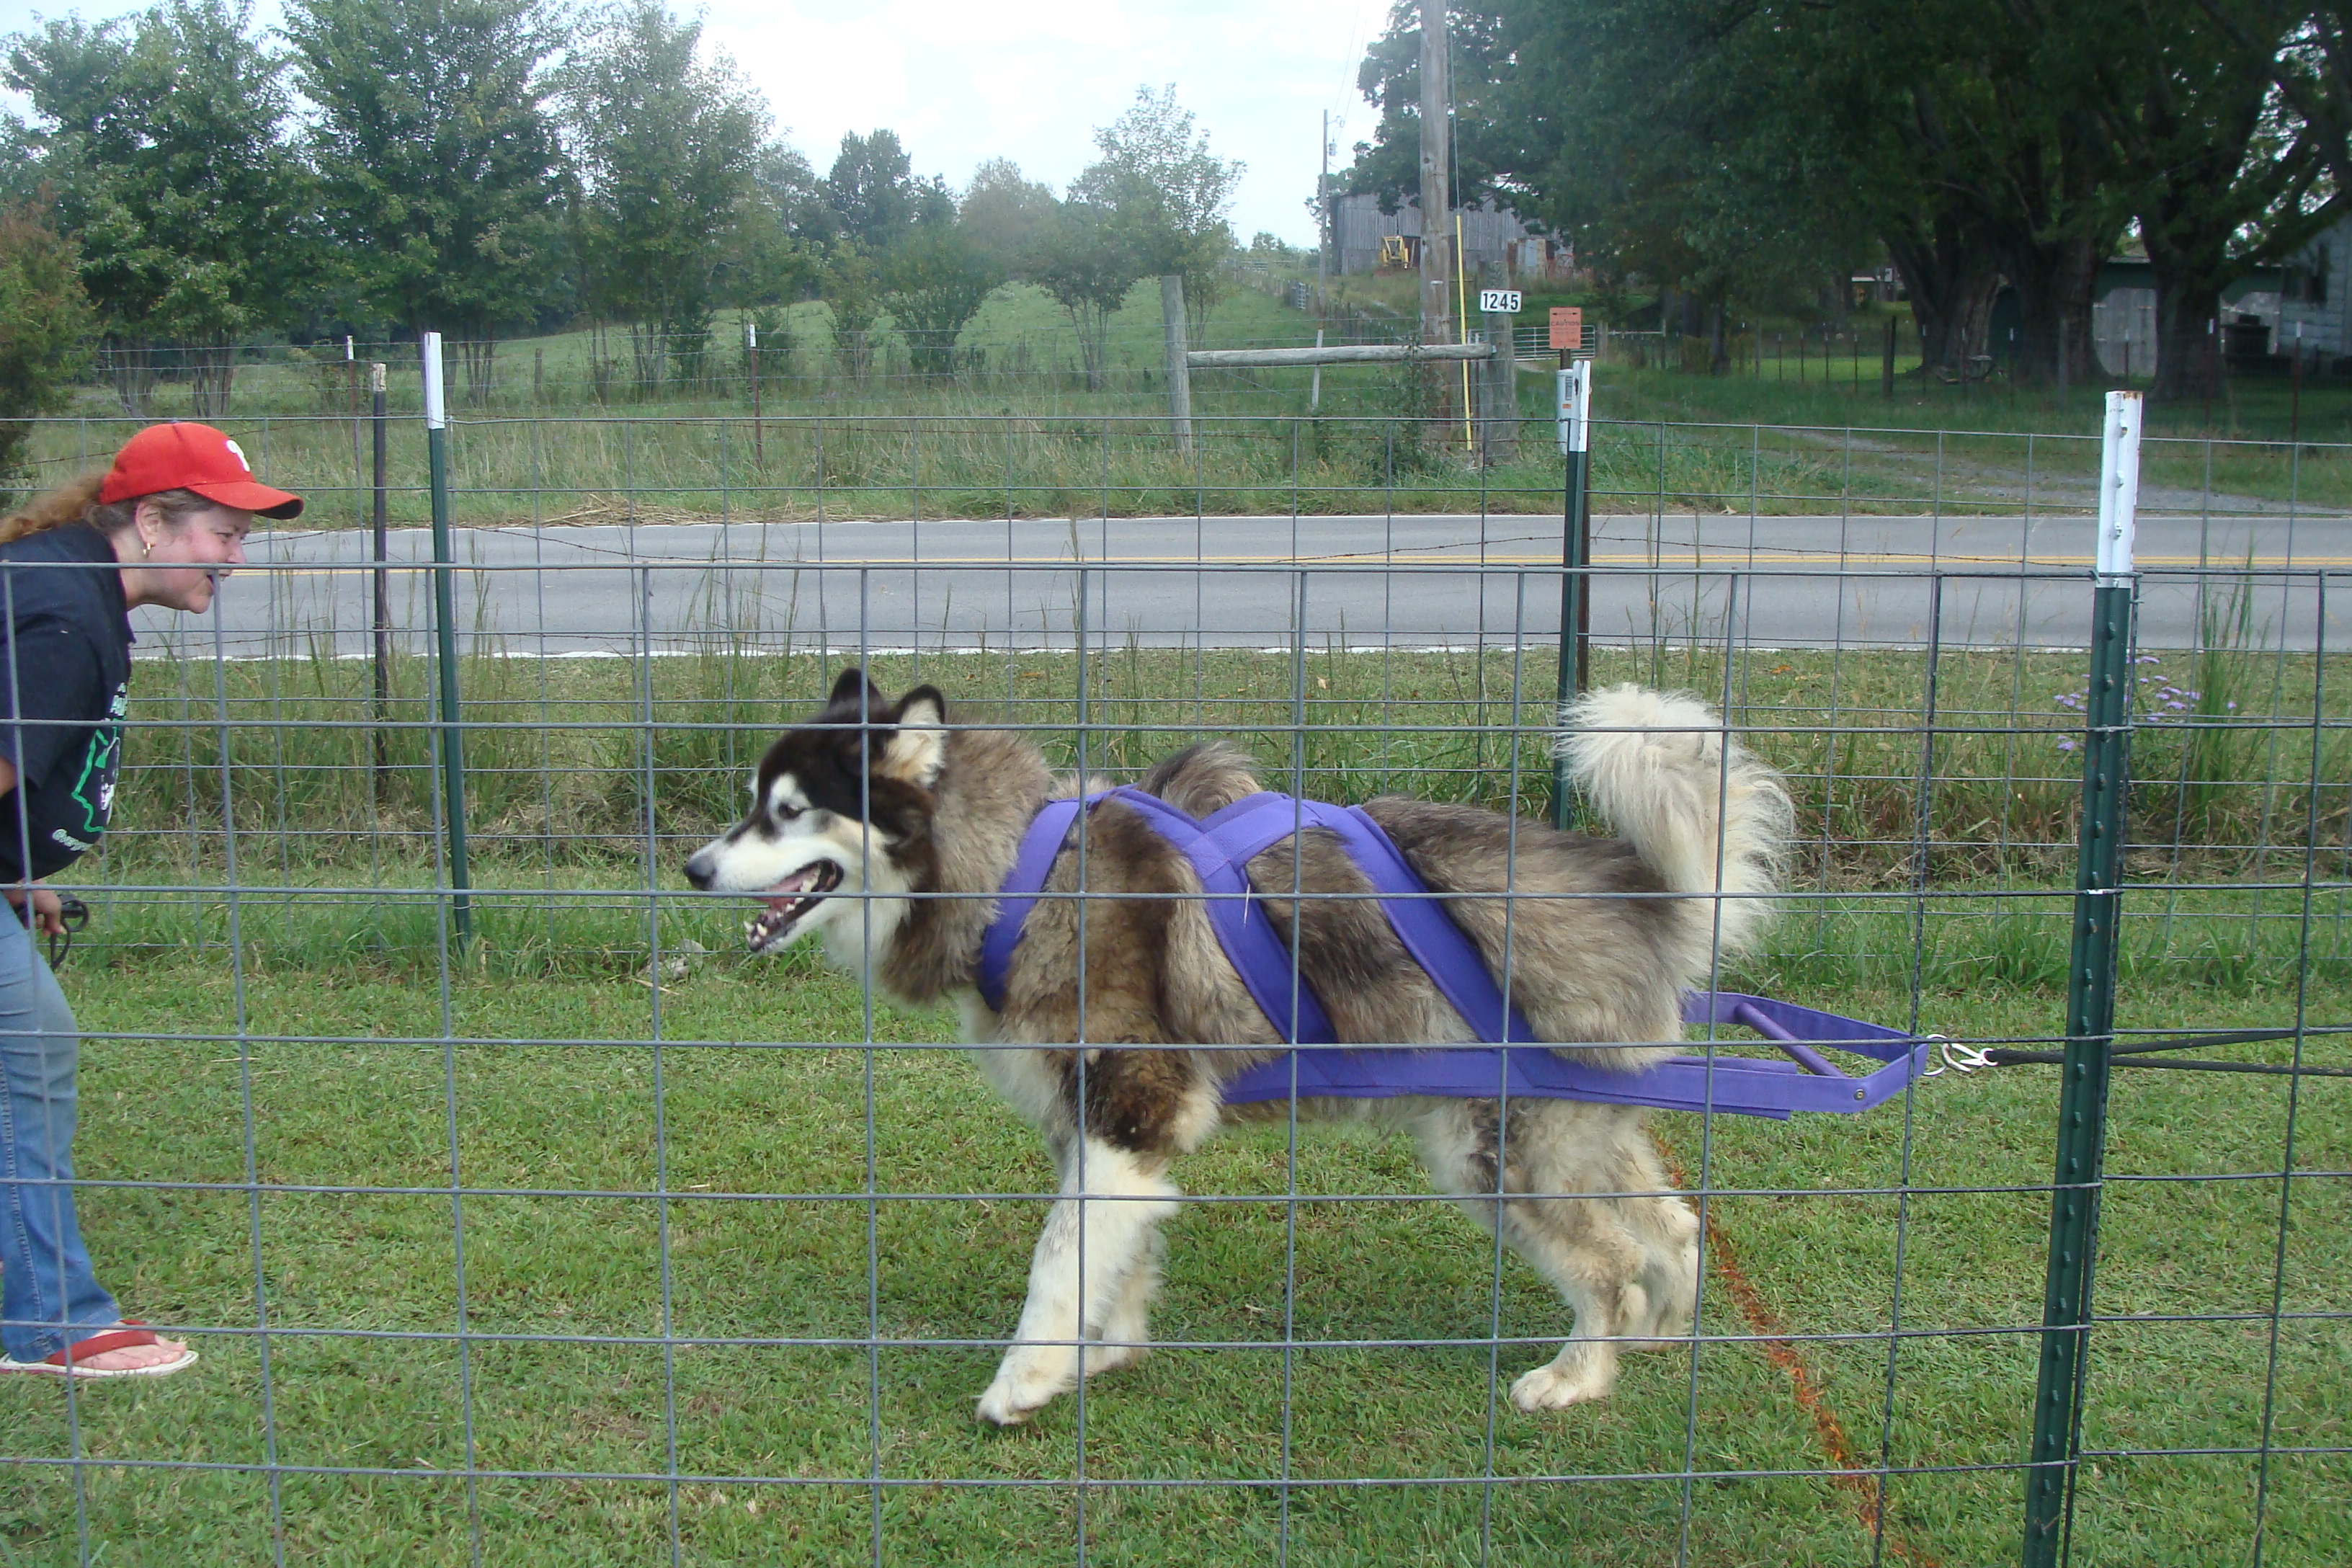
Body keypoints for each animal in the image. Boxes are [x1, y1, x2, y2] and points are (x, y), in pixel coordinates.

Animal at [687, 667, 1787, 1429]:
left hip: (1495, 1151)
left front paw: (1025, 1380)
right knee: (1674, 1226)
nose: (693, 868)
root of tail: (1638, 896)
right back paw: (1662, 1336)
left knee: (1609, 1260)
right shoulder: (1103, 1133)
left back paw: (1578, 1376)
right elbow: (1112, 1256)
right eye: (752, 805)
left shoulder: (1131, 1106)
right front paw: (1101, 1354)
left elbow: (1057, 1263)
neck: (1020, 875)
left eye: (788, 813)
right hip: (1573, 1134)